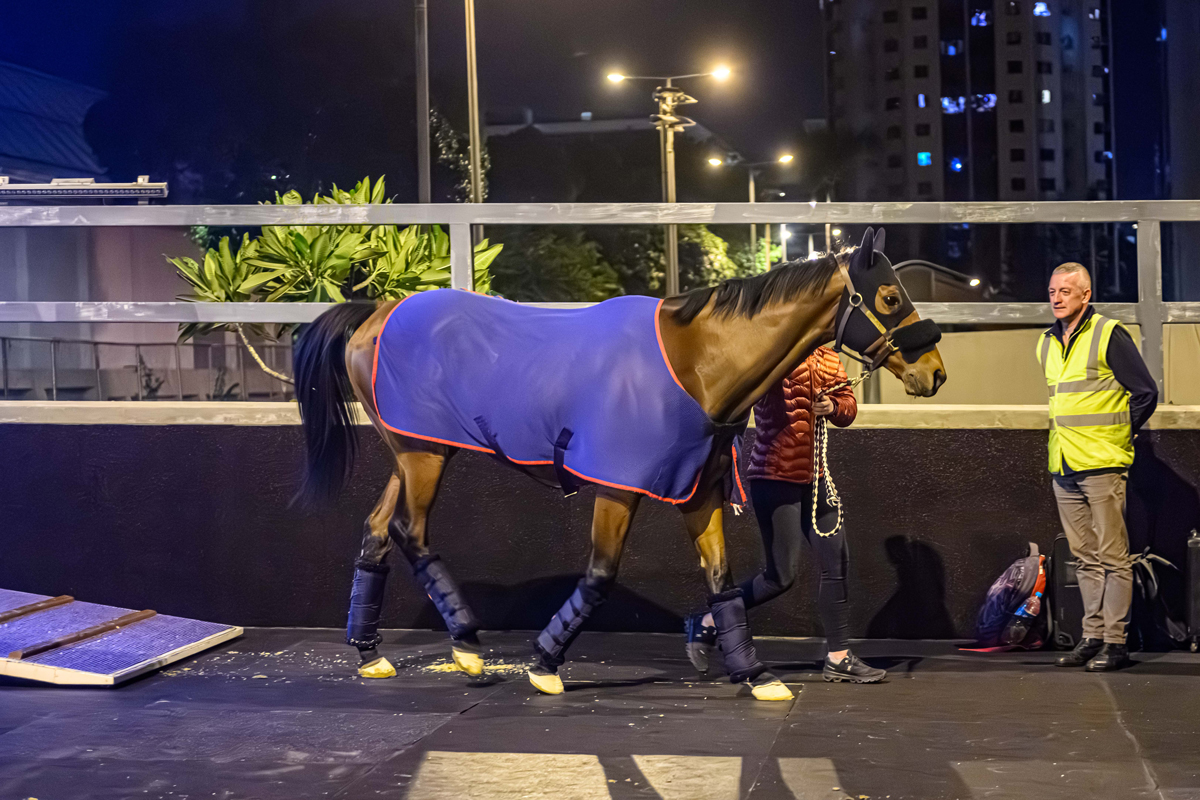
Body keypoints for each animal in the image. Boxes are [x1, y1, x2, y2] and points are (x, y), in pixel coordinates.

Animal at [292, 226, 945, 700]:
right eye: (890, 297)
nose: (934, 372)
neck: (697, 362)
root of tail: (378, 314)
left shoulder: (699, 491)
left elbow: (721, 579)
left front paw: (754, 674)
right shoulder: (619, 487)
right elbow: (601, 574)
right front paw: (545, 663)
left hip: (409, 452)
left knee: (378, 531)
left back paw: (371, 654)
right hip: (424, 455)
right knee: (411, 532)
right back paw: (468, 647)